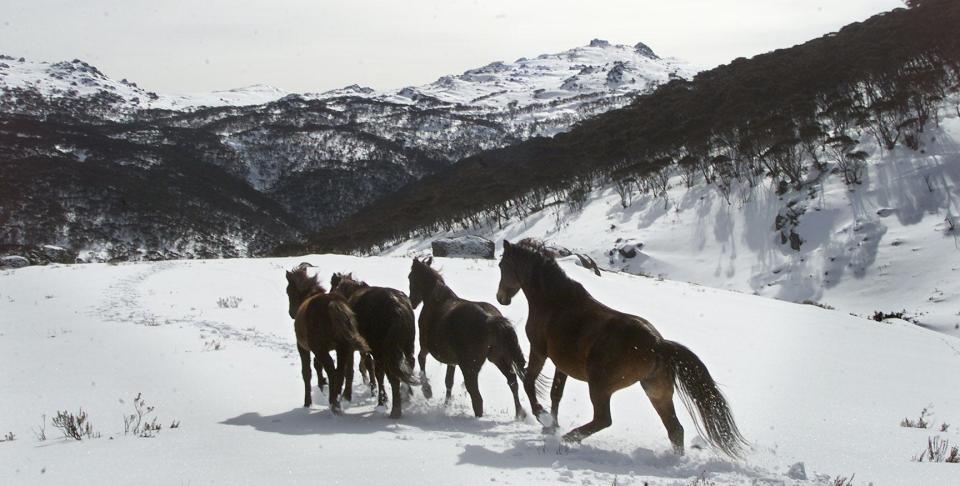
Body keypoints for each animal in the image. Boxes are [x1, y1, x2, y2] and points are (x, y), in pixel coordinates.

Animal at [284, 264, 370, 412]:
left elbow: (307, 372)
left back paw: (333, 402)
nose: (291, 313)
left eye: (288, 291)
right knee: (341, 371)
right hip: (343, 347)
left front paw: (307, 402)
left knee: (332, 371)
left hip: (321, 349)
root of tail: (333, 304)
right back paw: (338, 400)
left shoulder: (303, 347)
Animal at [330, 272, 416, 420]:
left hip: (382, 350)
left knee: (390, 375)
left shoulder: (353, 347)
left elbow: (353, 370)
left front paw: (347, 395)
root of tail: (397, 307)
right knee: (408, 365)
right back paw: (406, 395)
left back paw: (395, 410)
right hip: (407, 346)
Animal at [404, 256, 524, 420]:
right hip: (498, 358)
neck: (435, 299)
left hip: (470, 368)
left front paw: (427, 390)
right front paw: (446, 405)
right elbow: (448, 381)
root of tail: (489, 320)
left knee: (477, 398)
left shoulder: (425, 346)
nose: (412, 301)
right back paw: (520, 415)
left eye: (410, 277)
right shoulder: (452, 361)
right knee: (512, 382)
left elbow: (421, 360)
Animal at [496, 240, 752, 460]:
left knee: (603, 420)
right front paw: (551, 426)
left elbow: (530, 383)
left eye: (501, 266)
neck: (553, 302)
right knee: (675, 429)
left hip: (600, 386)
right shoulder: (562, 365)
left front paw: (544, 418)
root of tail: (658, 344)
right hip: (656, 391)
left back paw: (568, 439)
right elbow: (555, 394)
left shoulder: (539, 351)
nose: (501, 298)